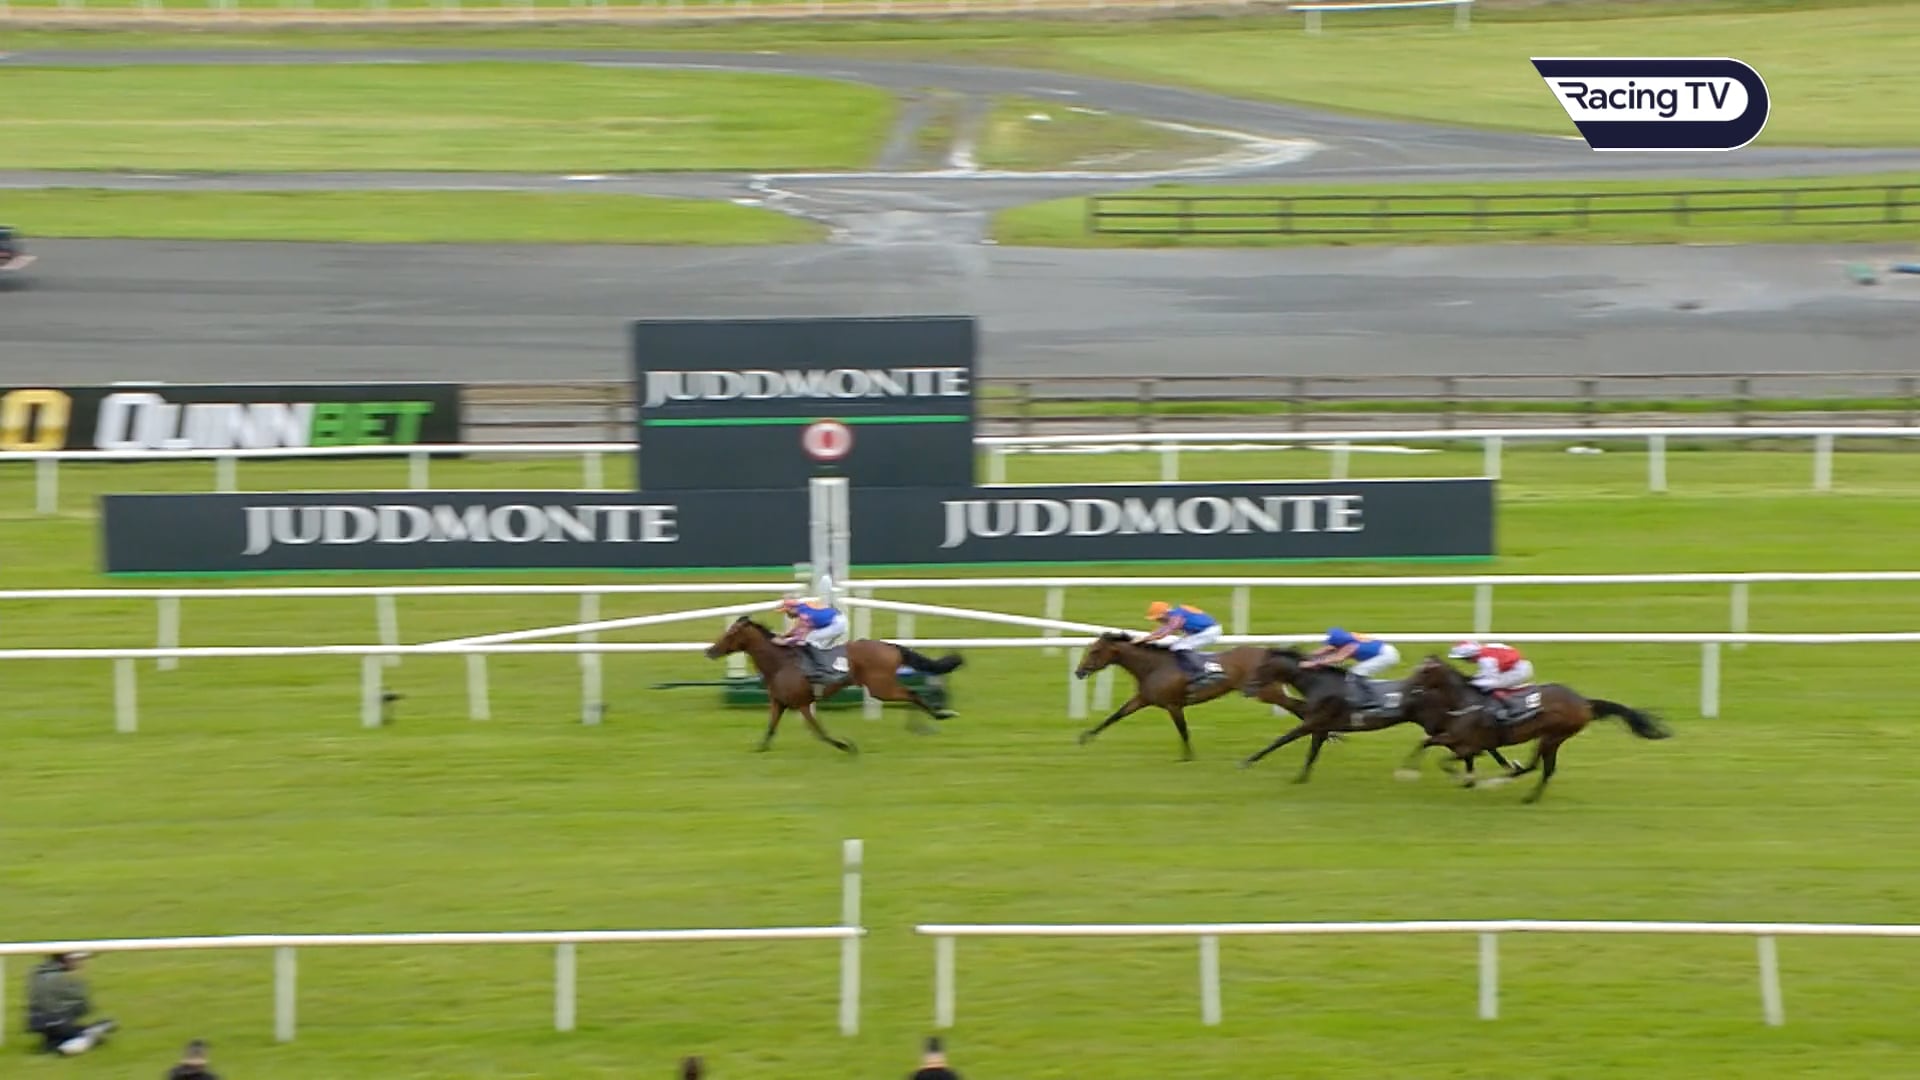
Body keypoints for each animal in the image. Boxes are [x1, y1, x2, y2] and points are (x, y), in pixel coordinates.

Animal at [704, 616, 964, 754]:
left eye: (730, 634)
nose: (710, 651)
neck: (780, 663)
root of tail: (891, 647)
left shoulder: (802, 704)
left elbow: (820, 732)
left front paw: (846, 746)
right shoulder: (779, 702)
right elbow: (770, 728)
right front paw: (759, 749)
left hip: (880, 687)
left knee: (911, 693)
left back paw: (939, 715)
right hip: (882, 686)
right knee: (911, 694)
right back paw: (925, 722)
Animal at [1073, 632, 1304, 760]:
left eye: (1095, 651)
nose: (1078, 672)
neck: (1153, 667)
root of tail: (1269, 654)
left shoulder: (1173, 705)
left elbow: (1183, 731)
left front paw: (1188, 757)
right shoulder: (1143, 699)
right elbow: (1115, 715)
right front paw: (1085, 737)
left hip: (1266, 692)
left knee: (1297, 706)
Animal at [1236, 647, 1522, 784]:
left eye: (1261, 667)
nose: (1248, 689)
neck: (1319, 683)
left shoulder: (1313, 722)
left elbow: (1281, 739)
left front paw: (1248, 761)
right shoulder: (1320, 726)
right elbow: (1312, 752)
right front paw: (1301, 778)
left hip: (1435, 724)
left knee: (1470, 744)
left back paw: (1501, 768)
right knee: (1472, 744)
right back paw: (1499, 769)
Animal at [1406, 654, 1672, 803]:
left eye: (1424, 671)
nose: (1407, 687)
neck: (1466, 701)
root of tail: (1585, 702)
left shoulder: (1469, 744)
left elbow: (1444, 759)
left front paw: (1464, 778)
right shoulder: (1462, 741)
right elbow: (1426, 743)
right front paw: (1409, 771)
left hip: (1553, 735)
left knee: (1538, 766)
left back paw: (1505, 784)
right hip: (1549, 737)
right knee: (1544, 768)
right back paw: (1521, 788)